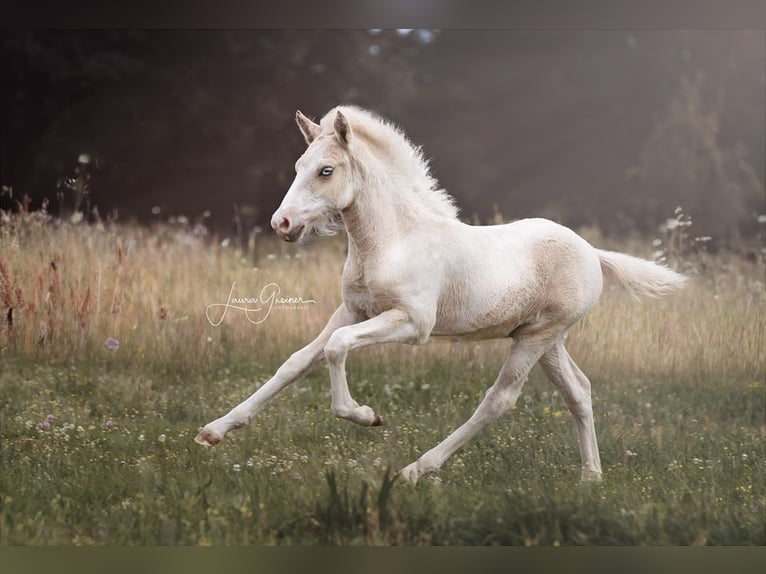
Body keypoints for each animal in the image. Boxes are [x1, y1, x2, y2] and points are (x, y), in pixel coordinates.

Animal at [195, 105, 686, 483]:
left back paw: (417, 469)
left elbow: (336, 349)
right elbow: (297, 361)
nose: (282, 224)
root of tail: (591, 252)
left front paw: (365, 415)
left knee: (499, 400)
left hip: (537, 338)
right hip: (546, 339)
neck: (393, 241)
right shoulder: (351, 311)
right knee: (579, 392)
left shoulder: (413, 324)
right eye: (298, 167)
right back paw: (591, 478)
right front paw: (214, 431)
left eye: (326, 170)